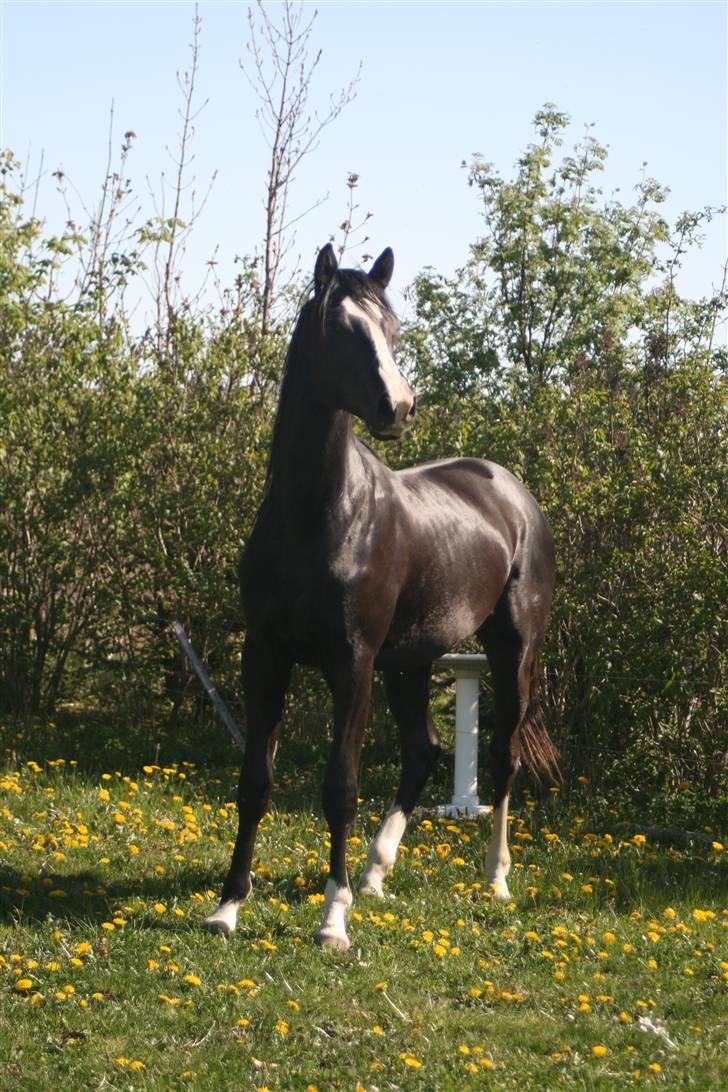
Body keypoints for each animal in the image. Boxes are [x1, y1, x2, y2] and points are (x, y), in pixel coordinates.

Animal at [205, 245, 558, 947]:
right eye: (341, 329)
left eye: (392, 330)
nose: (399, 406)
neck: (321, 515)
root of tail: (512, 492)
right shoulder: (265, 656)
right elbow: (255, 780)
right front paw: (228, 906)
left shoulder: (353, 663)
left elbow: (340, 786)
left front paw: (332, 919)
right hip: (411, 662)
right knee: (423, 753)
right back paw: (376, 871)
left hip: (512, 653)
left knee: (503, 758)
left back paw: (496, 880)